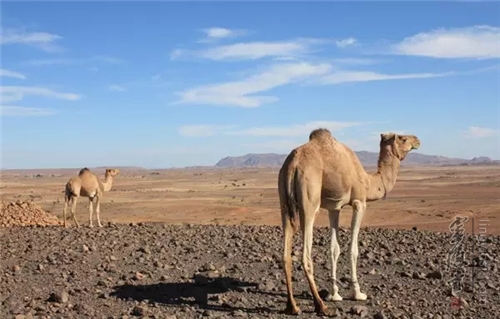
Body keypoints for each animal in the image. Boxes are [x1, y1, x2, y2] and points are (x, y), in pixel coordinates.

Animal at [280, 129, 420, 316]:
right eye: (403, 138)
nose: (418, 140)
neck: (368, 182)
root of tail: (293, 163)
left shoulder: (334, 207)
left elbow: (334, 249)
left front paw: (334, 294)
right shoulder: (359, 202)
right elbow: (353, 249)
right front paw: (357, 293)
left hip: (283, 200)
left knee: (286, 255)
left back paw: (292, 306)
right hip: (309, 200)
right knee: (306, 256)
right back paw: (321, 306)